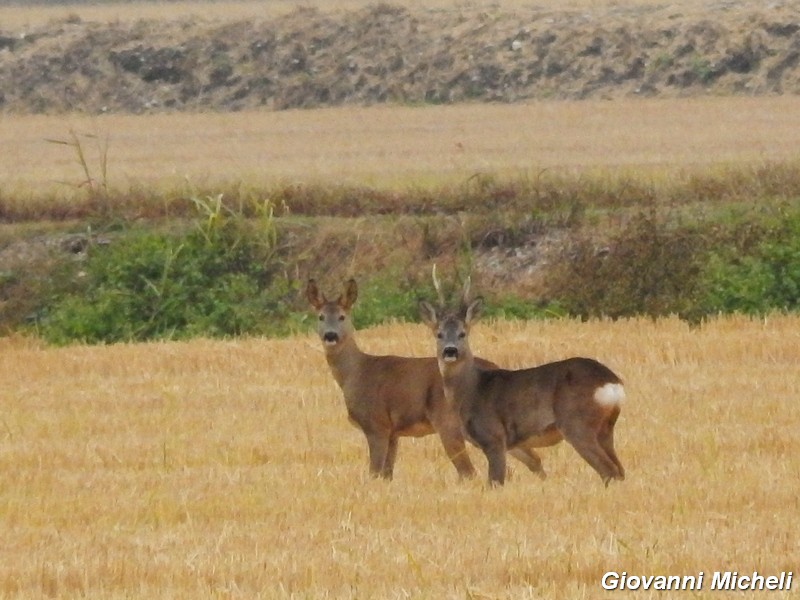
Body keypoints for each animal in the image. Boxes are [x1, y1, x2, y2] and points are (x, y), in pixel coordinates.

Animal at [306, 278, 552, 482]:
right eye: (320, 317)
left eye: (342, 316)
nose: (330, 335)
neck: (355, 372)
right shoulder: (393, 432)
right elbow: (387, 475)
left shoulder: (376, 424)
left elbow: (374, 473)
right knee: (533, 458)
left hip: (449, 424)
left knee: (469, 472)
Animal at [418, 276, 624, 488]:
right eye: (439, 334)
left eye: (462, 333)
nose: (450, 351)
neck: (470, 390)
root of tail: (611, 382)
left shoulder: (494, 437)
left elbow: (495, 481)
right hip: (606, 428)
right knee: (620, 470)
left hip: (577, 424)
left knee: (609, 470)